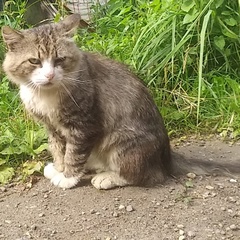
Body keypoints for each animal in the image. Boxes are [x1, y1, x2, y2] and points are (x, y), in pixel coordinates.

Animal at [1, 13, 238, 189]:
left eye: (60, 59)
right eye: (34, 61)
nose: (49, 75)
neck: (46, 95)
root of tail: (166, 155)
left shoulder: (84, 124)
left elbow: (74, 153)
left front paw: (67, 177)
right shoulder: (52, 127)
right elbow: (58, 149)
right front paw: (59, 168)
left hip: (123, 142)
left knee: (148, 175)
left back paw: (107, 177)